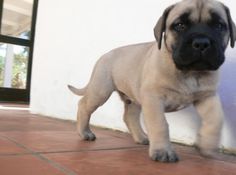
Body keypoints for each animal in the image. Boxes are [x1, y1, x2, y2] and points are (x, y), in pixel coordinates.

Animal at [68, 0, 236, 163]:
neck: (189, 72)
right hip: (100, 90)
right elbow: (160, 124)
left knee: (129, 116)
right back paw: (85, 133)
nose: (201, 43)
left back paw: (141, 137)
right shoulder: (153, 98)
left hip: (133, 98)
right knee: (84, 105)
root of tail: (105, 55)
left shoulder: (207, 97)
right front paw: (163, 151)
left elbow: (216, 119)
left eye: (219, 26)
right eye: (180, 25)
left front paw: (207, 146)